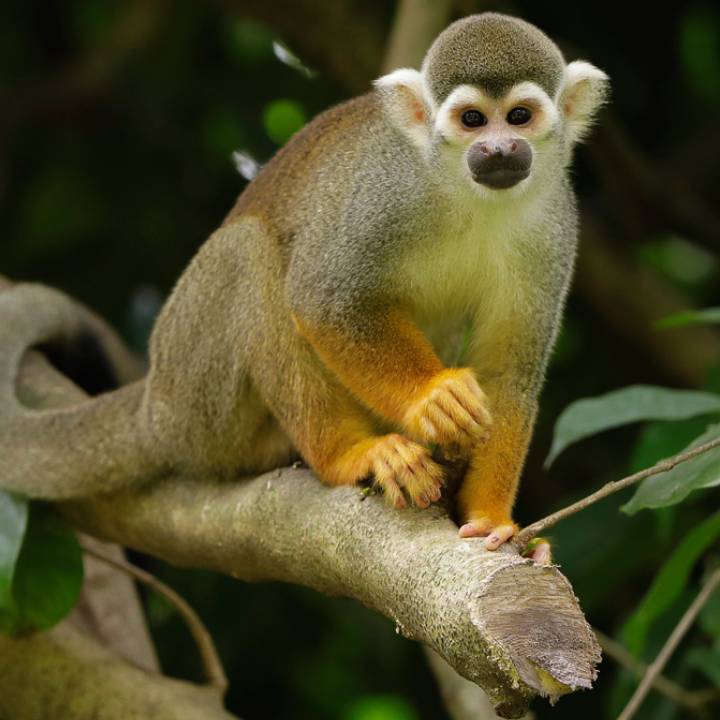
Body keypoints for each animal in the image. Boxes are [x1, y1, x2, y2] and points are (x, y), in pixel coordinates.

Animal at [0, 13, 608, 559]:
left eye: (520, 116)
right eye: (474, 119)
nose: (499, 150)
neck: (471, 197)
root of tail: (155, 403)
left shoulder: (554, 225)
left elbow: (508, 374)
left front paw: (491, 521)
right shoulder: (384, 193)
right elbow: (322, 300)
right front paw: (431, 398)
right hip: (197, 392)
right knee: (248, 255)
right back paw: (348, 454)